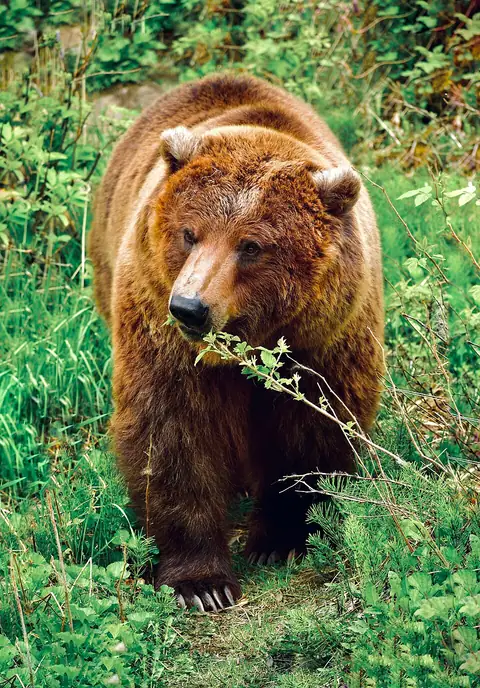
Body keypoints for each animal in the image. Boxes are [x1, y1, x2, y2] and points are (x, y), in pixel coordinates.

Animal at [89, 73, 384, 612]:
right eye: (189, 233)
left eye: (251, 246)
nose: (189, 306)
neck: (246, 344)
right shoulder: (162, 335)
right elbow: (172, 434)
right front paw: (202, 583)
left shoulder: (322, 340)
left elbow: (311, 429)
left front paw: (281, 540)